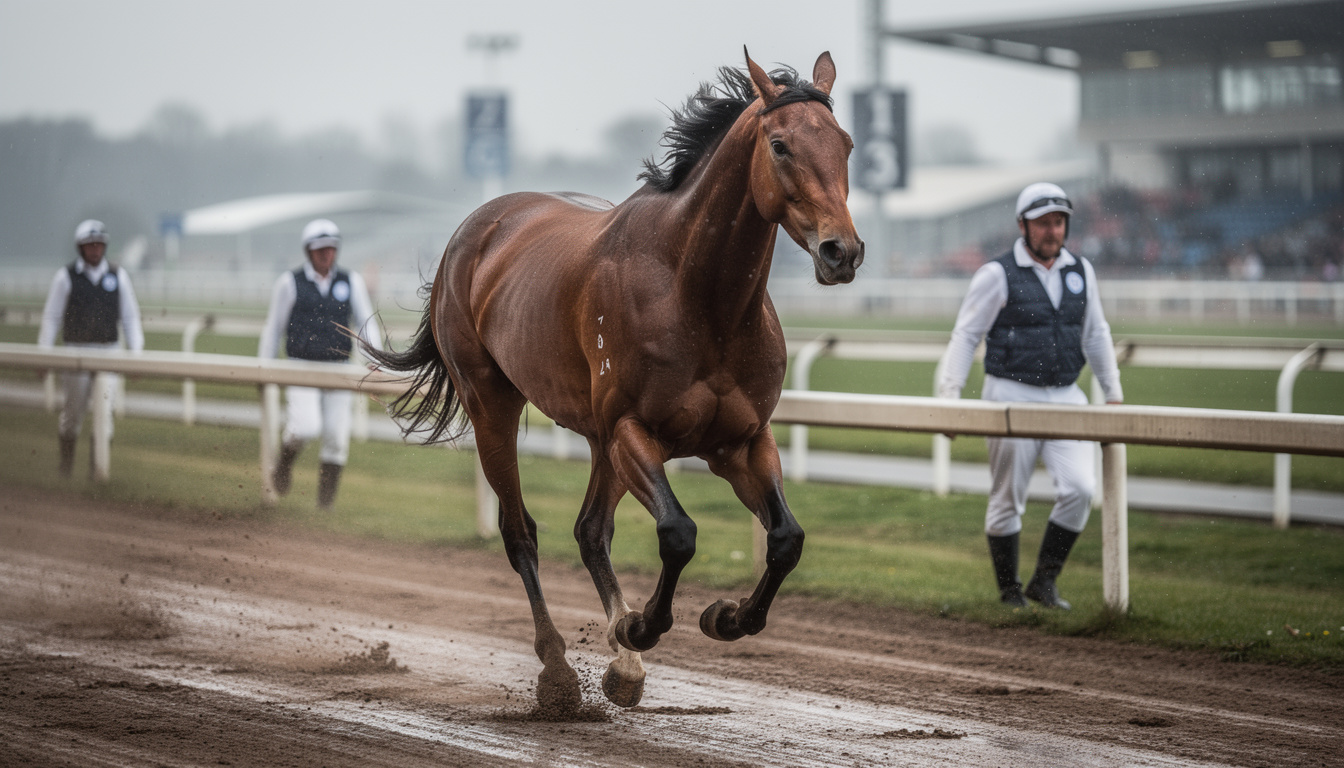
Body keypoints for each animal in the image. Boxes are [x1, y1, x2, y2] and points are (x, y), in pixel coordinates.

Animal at [367, 49, 862, 712]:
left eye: (846, 143)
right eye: (780, 145)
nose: (842, 251)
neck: (698, 296)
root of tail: (476, 228)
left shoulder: (741, 441)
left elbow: (786, 537)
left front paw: (726, 617)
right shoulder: (633, 428)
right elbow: (678, 533)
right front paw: (640, 626)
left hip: (600, 441)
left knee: (589, 530)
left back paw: (623, 666)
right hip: (492, 403)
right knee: (520, 532)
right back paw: (558, 668)